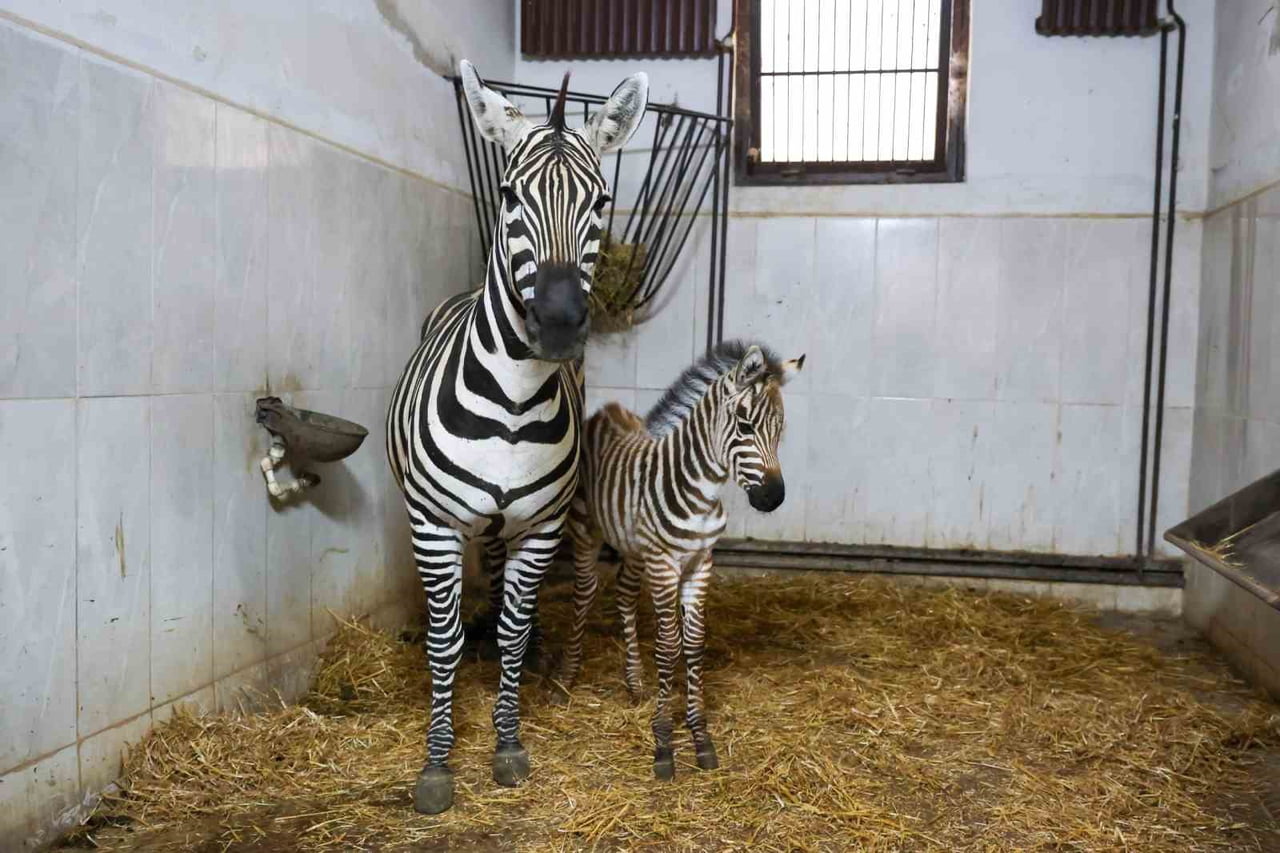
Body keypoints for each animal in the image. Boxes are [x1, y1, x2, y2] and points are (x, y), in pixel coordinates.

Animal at [386, 60, 648, 814]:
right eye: (507, 195)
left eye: (601, 200)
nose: (558, 322)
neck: (510, 404)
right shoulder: (434, 523)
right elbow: (443, 639)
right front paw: (437, 762)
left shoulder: (540, 525)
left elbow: (512, 624)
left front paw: (507, 742)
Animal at [556, 340, 804, 780]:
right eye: (745, 426)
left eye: (780, 431)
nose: (773, 498)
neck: (700, 492)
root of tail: (608, 411)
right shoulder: (664, 565)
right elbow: (669, 646)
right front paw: (663, 739)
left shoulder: (700, 563)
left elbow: (693, 642)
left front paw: (699, 734)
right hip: (587, 531)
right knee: (584, 594)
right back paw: (569, 675)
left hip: (635, 548)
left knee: (623, 594)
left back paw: (634, 682)